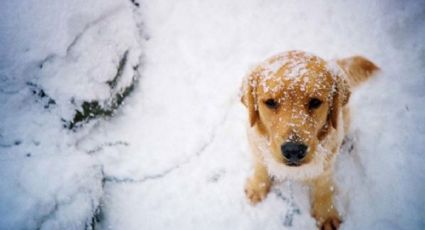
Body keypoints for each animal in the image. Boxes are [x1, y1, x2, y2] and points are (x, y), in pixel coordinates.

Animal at [242, 51, 378, 229]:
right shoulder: (256, 145)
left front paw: (325, 213)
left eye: (315, 102)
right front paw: (257, 187)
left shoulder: (326, 163)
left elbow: (323, 187)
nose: (293, 150)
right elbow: (260, 167)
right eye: (270, 102)